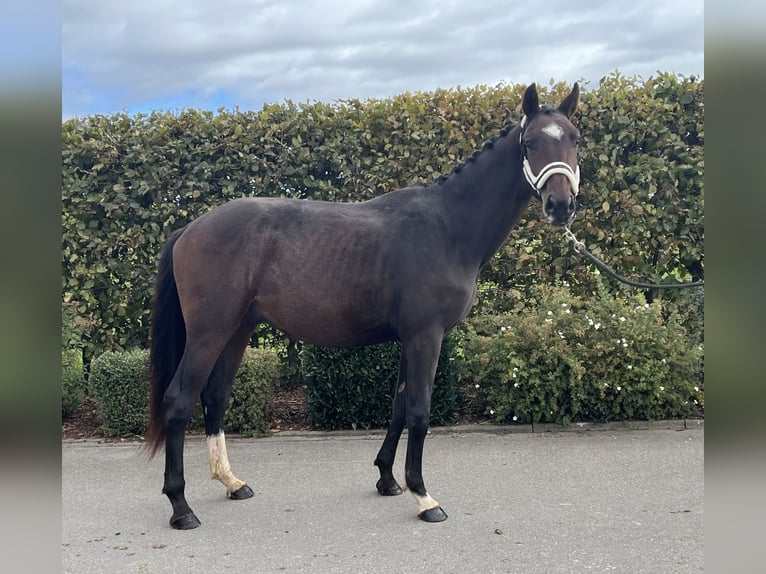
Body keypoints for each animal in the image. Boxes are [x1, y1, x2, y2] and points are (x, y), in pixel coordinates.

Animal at [146, 82, 581, 529]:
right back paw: (181, 506)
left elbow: (399, 406)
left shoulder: (410, 338)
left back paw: (232, 482)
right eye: (529, 143)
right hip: (209, 332)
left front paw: (388, 479)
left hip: (237, 330)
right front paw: (423, 496)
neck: (447, 227)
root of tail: (190, 228)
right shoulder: (426, 335)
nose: (560, 206)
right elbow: (420, 410)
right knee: (179, 400)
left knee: (215, 397)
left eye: (575, 139)